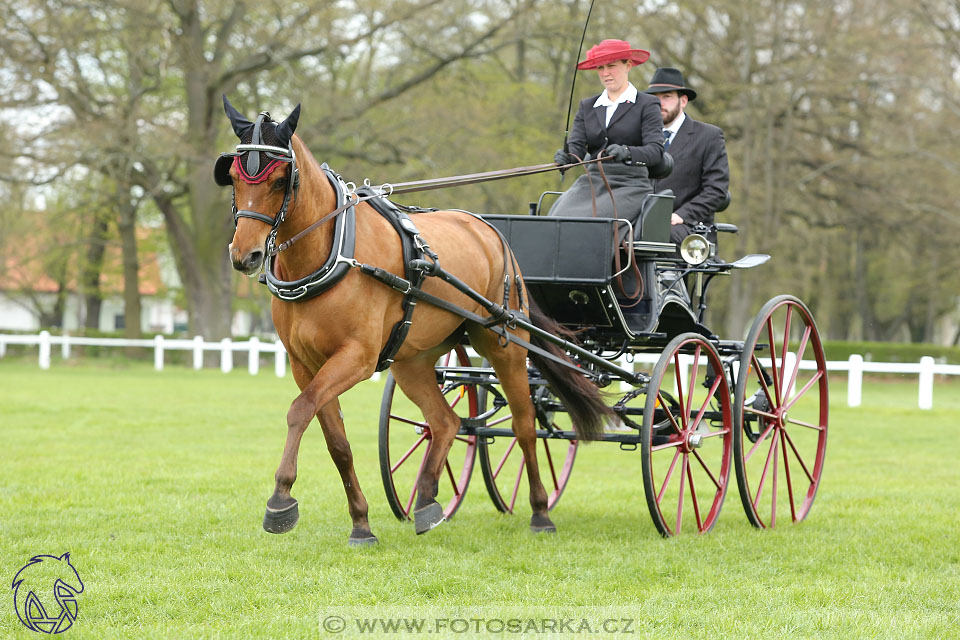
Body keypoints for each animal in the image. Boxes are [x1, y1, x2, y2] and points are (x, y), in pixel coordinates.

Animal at [214, 97, 612, 548]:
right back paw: (425, 502)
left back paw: (540, 511)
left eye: (281, 180)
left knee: (526, 425)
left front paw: (280, 498)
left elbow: (299, 411)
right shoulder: (305, 364)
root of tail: (490, 231)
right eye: (232, 176)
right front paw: (361, 522)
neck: (332, 253)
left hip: (504, 341)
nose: (244, 256)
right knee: (446, 422)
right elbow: (336, 441)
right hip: (413, 360)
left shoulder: (357, 358)